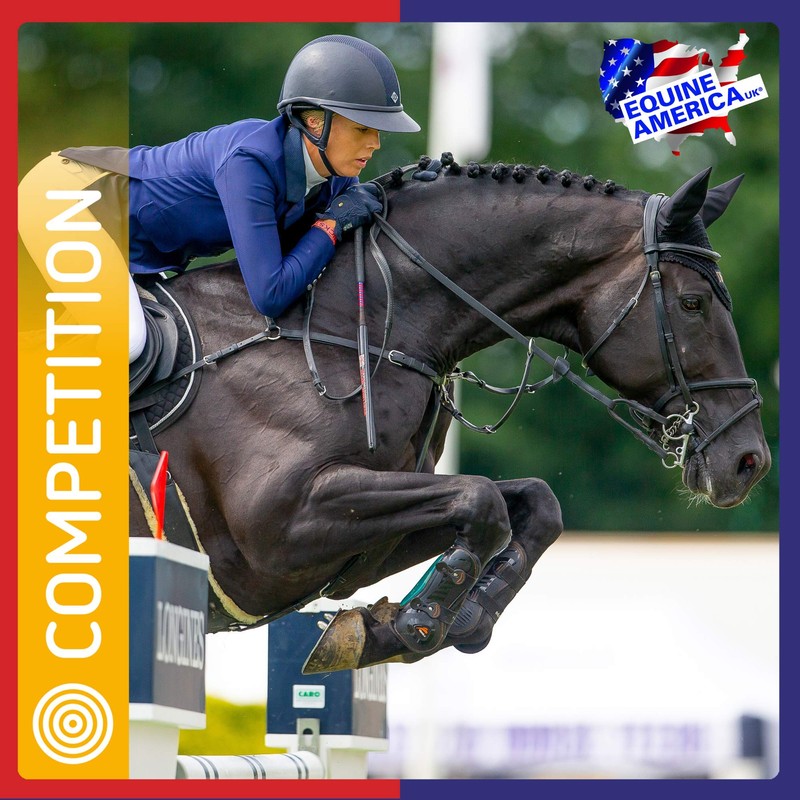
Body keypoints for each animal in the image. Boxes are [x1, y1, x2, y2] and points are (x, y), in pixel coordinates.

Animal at [128, 158, 770, 674]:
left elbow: (531, 503)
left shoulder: (354, 544)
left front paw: (454, 619)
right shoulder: (280, 529)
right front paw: (417, 622)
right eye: (692, 303)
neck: (346, 325)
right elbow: (482, 500)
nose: (749, 462)